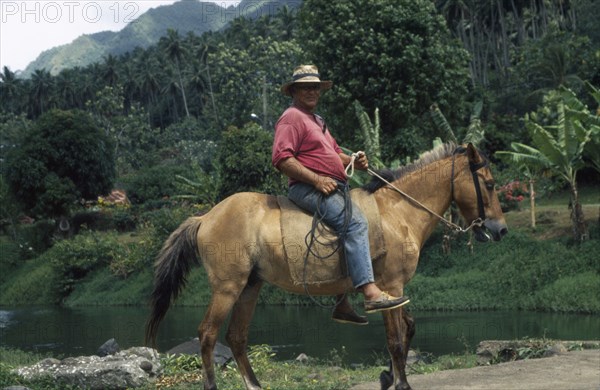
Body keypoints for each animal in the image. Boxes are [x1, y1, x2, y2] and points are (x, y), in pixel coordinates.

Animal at [144, 143, 506, 390]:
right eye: (488, 183)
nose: (500, 230)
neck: (398, 212)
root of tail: (206, 216)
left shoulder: (396, 290)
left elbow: (409, 328)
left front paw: (388, 376)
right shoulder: (391, 286)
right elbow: (396, 338)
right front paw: (400, 382)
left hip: (250, 286)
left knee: (236, 337)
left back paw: (255, 385)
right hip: (227, 287)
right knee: (208, 334)